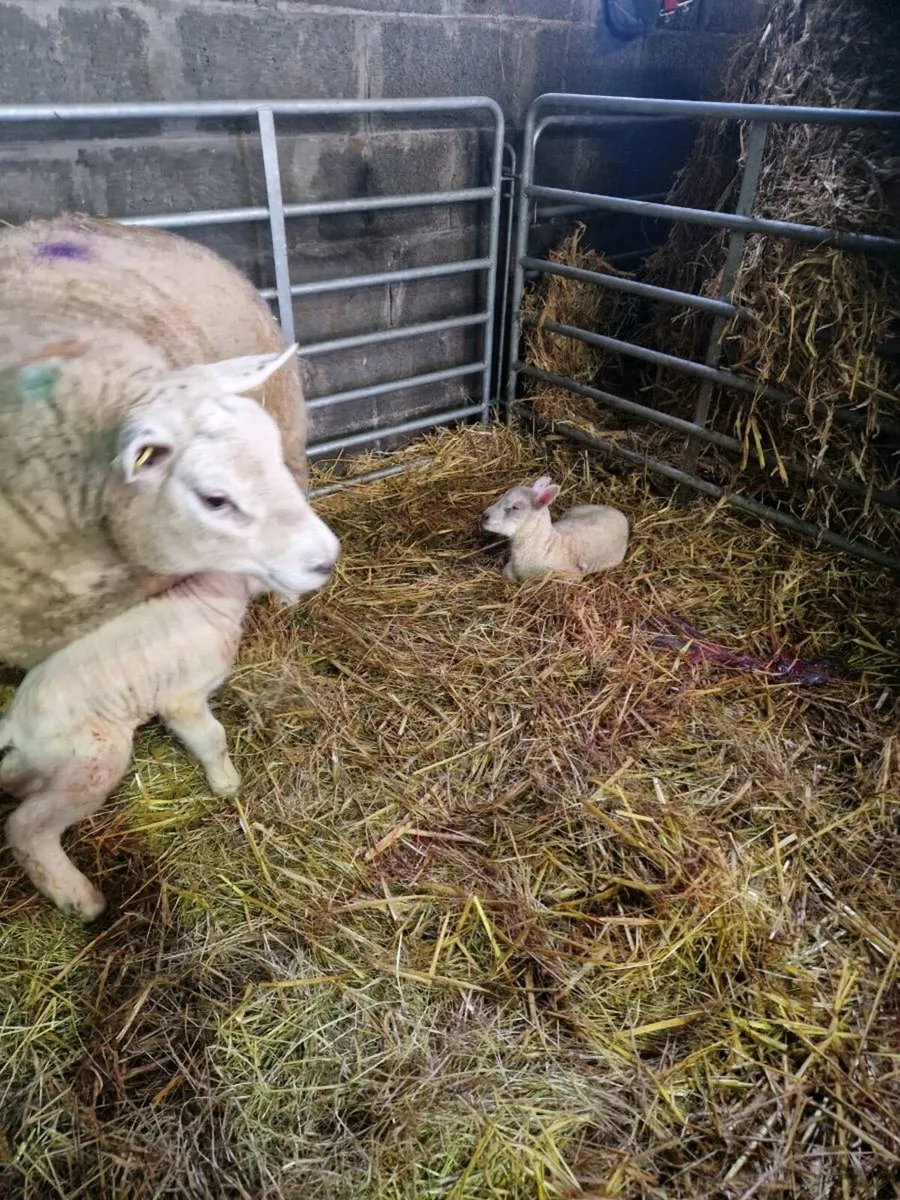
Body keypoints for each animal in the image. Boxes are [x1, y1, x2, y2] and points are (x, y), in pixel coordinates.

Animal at [1, 572, 262, 921]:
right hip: (94, 761)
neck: (208, 601)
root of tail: (15, 722)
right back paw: (81, 899)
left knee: (12, 779)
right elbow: (213, 738)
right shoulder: (182, 700)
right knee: (26, 827)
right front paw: (227, 783)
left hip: (43, 761)